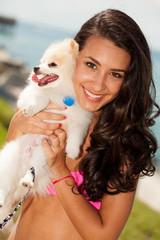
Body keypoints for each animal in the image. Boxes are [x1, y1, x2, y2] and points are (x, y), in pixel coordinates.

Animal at [0, 38, 92, 228]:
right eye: (42, 61)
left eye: (52, 64)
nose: (35, 67)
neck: (61, 93)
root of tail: (21, 165)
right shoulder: (30, 93)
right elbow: (41, 97)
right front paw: (30, 110)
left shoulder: (81, 119)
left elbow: (76, 135)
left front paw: (72, 151)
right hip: (11, 157)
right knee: (3, 184)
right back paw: (1, 198)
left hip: (41, 154)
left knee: (32, 169)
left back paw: (27, 181)